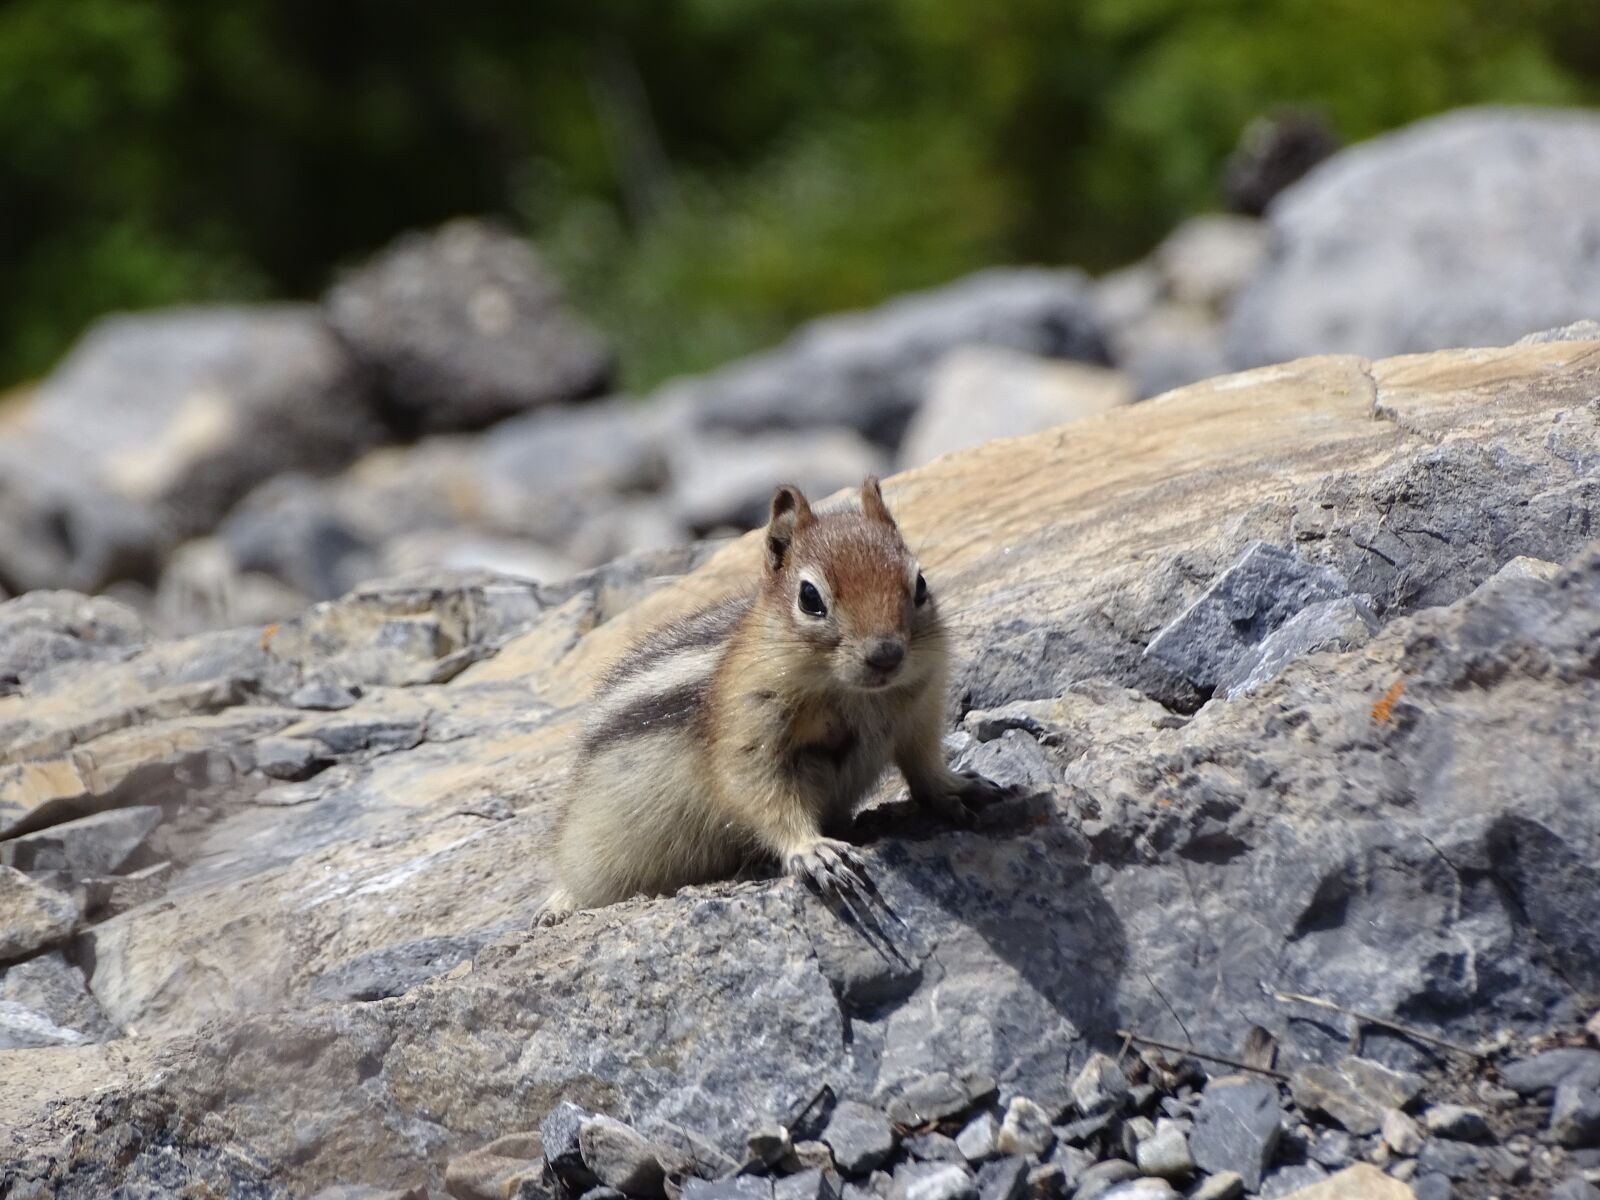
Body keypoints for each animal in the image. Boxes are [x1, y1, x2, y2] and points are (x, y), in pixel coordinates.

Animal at [537, 477, 1002, 923]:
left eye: (920, 584)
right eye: (810, 598)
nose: (886, 655)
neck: (851, 694)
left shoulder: (922, 711)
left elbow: (924, 764)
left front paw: (960, 786)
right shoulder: (749, 733)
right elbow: (761, 795)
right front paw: (813, 850)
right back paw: (556, 907)